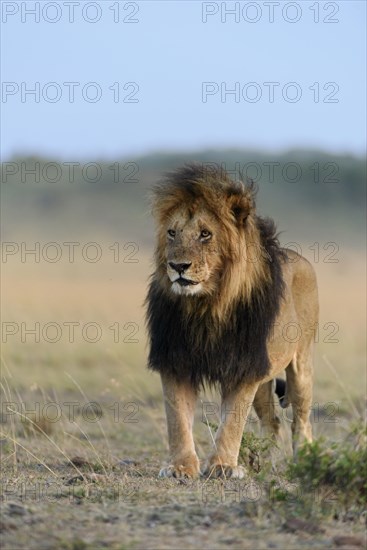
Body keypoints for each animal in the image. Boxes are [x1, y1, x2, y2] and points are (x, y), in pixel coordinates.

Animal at [145, 164, 318, 478]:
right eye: (172, 233)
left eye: (205, 234)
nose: (178, 266)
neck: (206, 305)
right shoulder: (175, 360)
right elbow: (177, 418)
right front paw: (180, 467)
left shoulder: (244, 365)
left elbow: (233, 420)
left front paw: (223, 467)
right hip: (265, 379)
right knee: (272, 422)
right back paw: (263, 465)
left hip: (301, 366)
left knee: (301, 421)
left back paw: (303, 463)